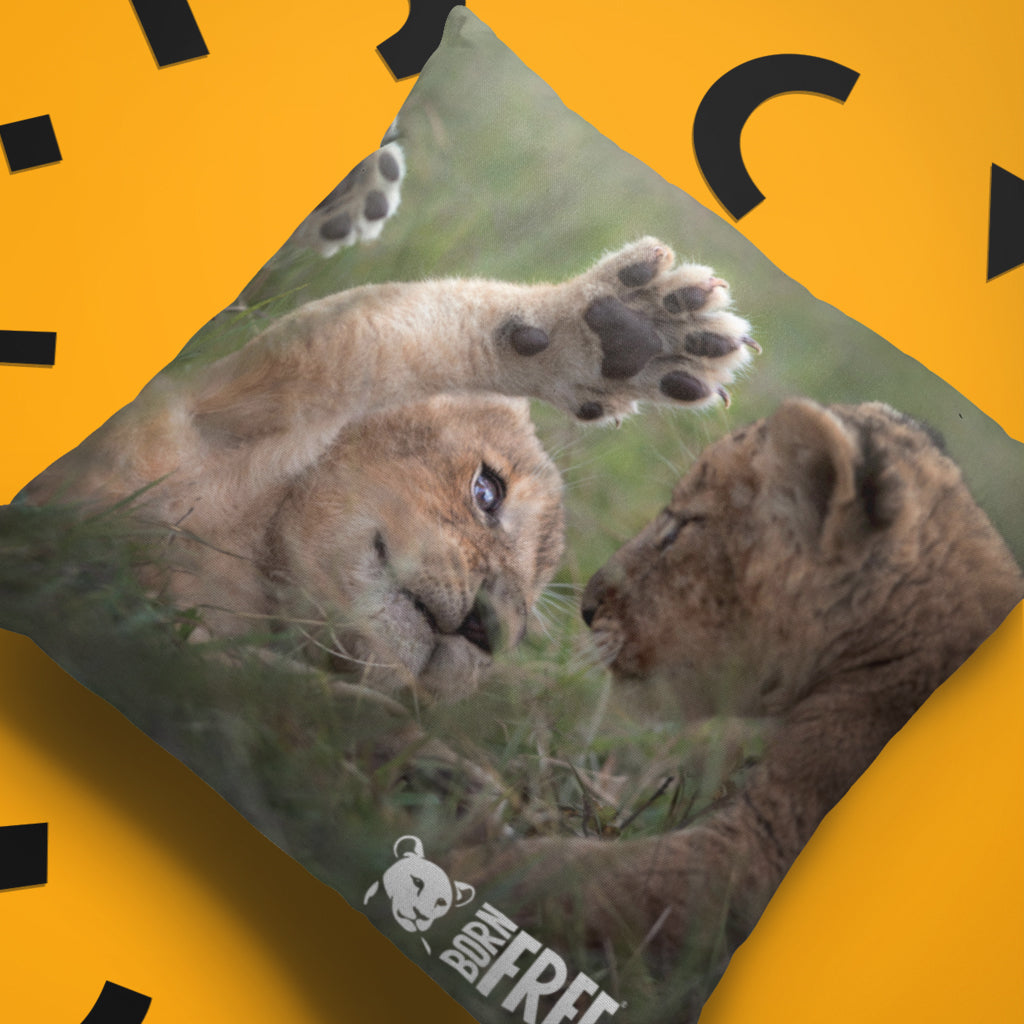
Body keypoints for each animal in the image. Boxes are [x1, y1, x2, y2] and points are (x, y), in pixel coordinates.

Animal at [17, 237, 755, 699]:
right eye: (487, 492)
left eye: (527, 618)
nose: (488, 628)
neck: (252, 555)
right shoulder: (236, 404)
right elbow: (405, 329)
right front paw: (628, 331)